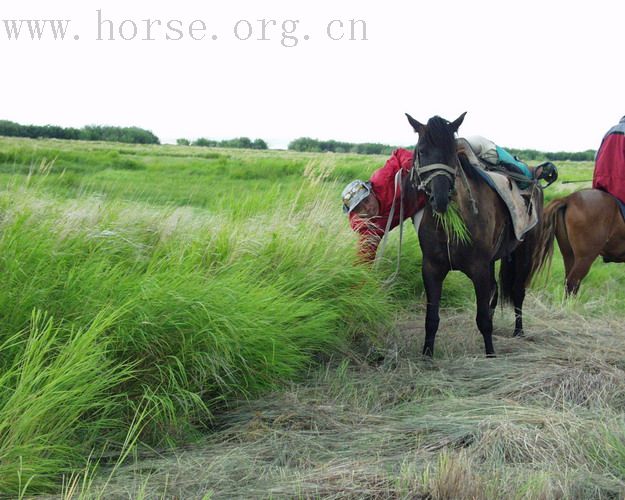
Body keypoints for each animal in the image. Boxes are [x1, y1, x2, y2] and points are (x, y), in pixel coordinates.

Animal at [402, 112, 544, 358]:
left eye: (452, 153)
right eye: (421, 151)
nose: (440, 199)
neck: (450, 227)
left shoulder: (479, 270)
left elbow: (483, 318)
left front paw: (490, 354)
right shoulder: (431, 269)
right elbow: (432, 319)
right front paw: (427, 354)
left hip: (523, 252)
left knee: (517, 291)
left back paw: (519, 332)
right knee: (495, 292)